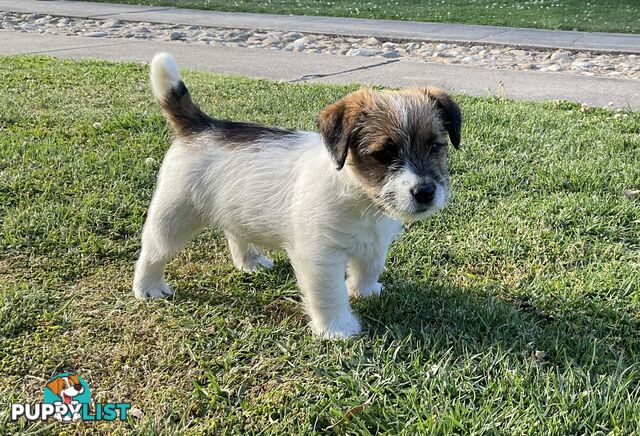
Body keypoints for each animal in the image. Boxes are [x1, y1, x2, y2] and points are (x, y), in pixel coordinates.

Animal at [134, 52, 460, 338]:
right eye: (384, 154)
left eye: (435, 146)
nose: (425, 192)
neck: (358, 196)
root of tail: (200, 126)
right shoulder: (320, 257)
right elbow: (330, 294)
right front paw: (337, 329)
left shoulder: (375, 242)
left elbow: (370, 266)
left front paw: (366, 291)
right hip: (174, 215)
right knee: (153, 250)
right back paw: (148, 287)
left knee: (235, 232)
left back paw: (250, 261)